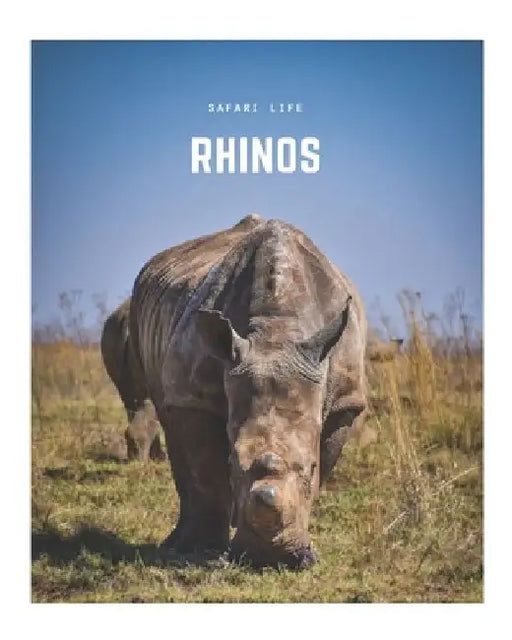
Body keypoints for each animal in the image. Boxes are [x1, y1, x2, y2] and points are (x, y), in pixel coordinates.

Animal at [130, 214, 368, 569]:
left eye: (310, 467)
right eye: (232, 463)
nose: (269, 558)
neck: (277, 331)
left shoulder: (344, 402)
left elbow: (326, 461)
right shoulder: (193, 395)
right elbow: (206, 474)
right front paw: (202, 550)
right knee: (168, 420)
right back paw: (178, 545)